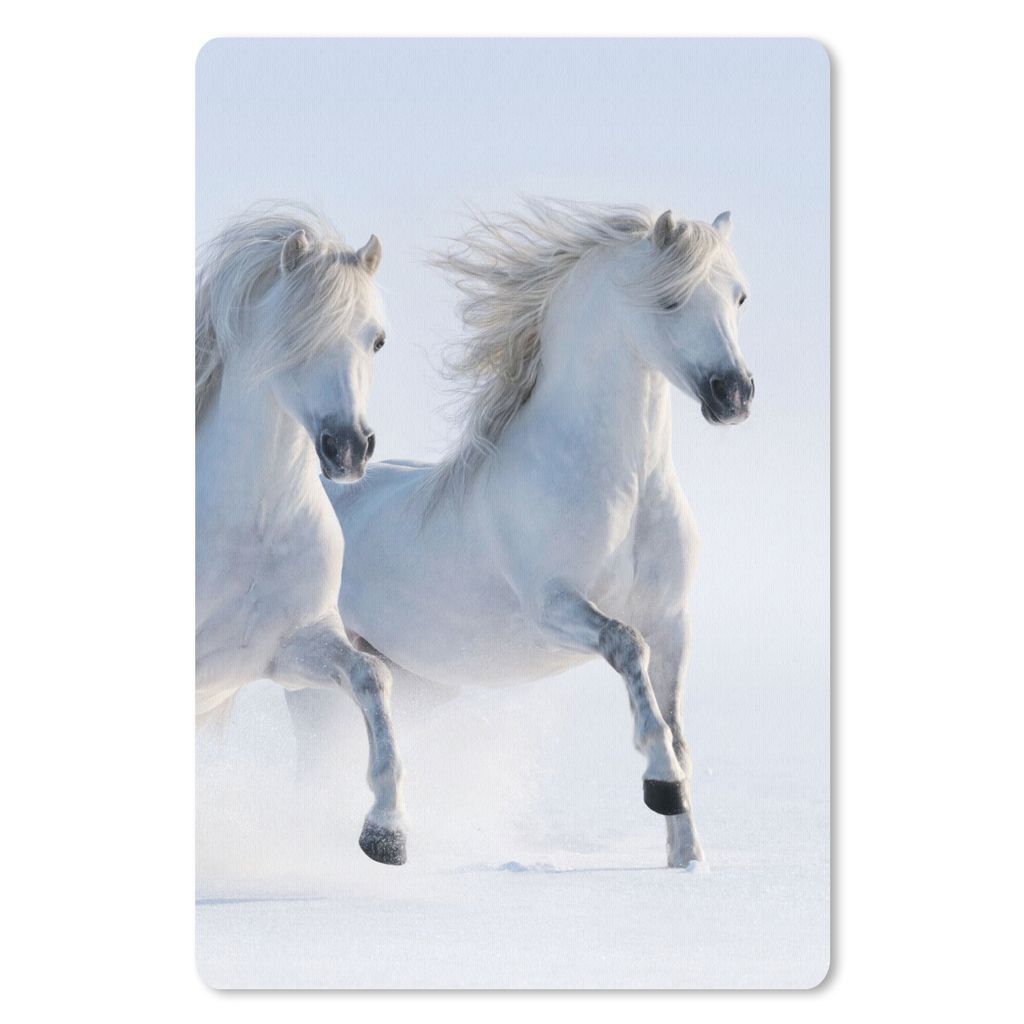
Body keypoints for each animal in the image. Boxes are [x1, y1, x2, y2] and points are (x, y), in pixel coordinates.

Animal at [196, 207, 407, 866]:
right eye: (296, 335)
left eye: (377, 339)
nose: (348, 449)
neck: (253, 527)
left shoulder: (288, 649)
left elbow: (372, 677)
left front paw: (387, 831)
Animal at [292, 199, 754, 869]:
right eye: (670, 300)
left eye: (739, 296)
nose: (734, 395)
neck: (625, 486)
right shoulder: (554, 607)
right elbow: (627, 648)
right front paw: (661, 786)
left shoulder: (673, 620)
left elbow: (677, 726)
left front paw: (687, 859)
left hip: (418, 682)